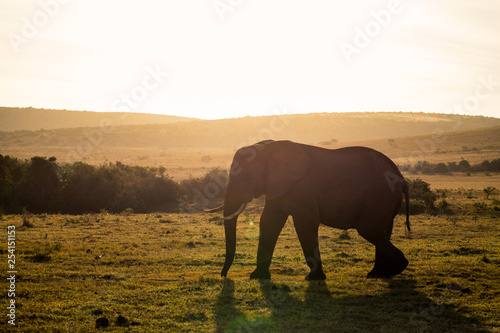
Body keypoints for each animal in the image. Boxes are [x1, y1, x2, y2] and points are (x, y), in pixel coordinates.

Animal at [207, 139, 410, 278]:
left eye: (246, 176)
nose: (224, 275)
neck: (270, 147)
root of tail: (401, 178)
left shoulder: (301, 186)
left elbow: (305, 224)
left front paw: (314, 278)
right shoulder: (279, 186)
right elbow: (269, 223)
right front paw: (258, 277)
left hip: (380, 196)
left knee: (370, 230)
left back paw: (397, 267)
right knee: (382, 231)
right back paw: (378, 274)